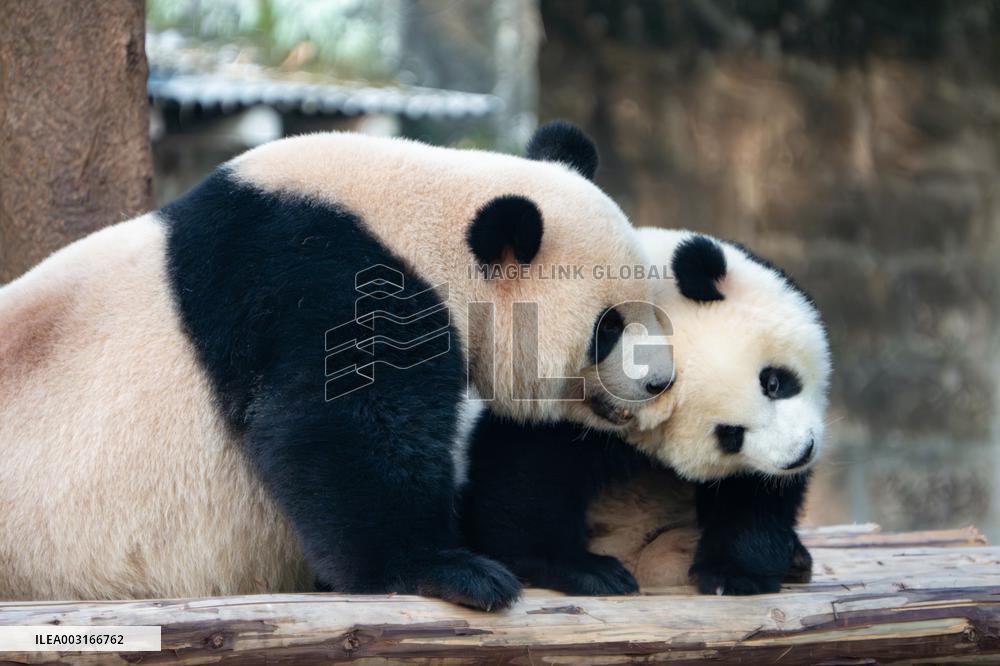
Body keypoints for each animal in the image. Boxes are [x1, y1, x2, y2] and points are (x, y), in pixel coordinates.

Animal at [0, 122, 675, 610]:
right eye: (608, 327)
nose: (659, 381)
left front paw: (580, 566)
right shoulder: (314, 281)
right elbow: (338, 427)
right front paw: (445, 570)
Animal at [461, 227, 831, 596]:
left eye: (772, 382)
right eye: (729, 434)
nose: (800, 453)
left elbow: (751, 493)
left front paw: (733, 573)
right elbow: (526, 474)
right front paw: (585, 569)